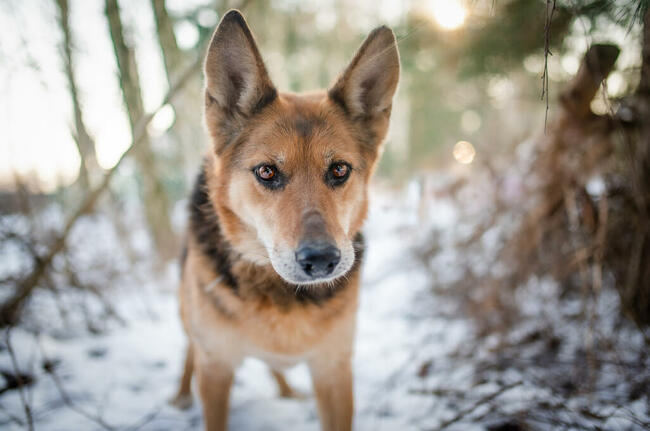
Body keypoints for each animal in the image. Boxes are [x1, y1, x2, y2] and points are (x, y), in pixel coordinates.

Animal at [170, 10, 398, 431]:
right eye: (266, 172)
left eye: (339, 170)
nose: (321, 260)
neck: (278, 293)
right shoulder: (216, 370)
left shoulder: (333, 369)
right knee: (189, 350)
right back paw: (180, 393)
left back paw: (287, 390)